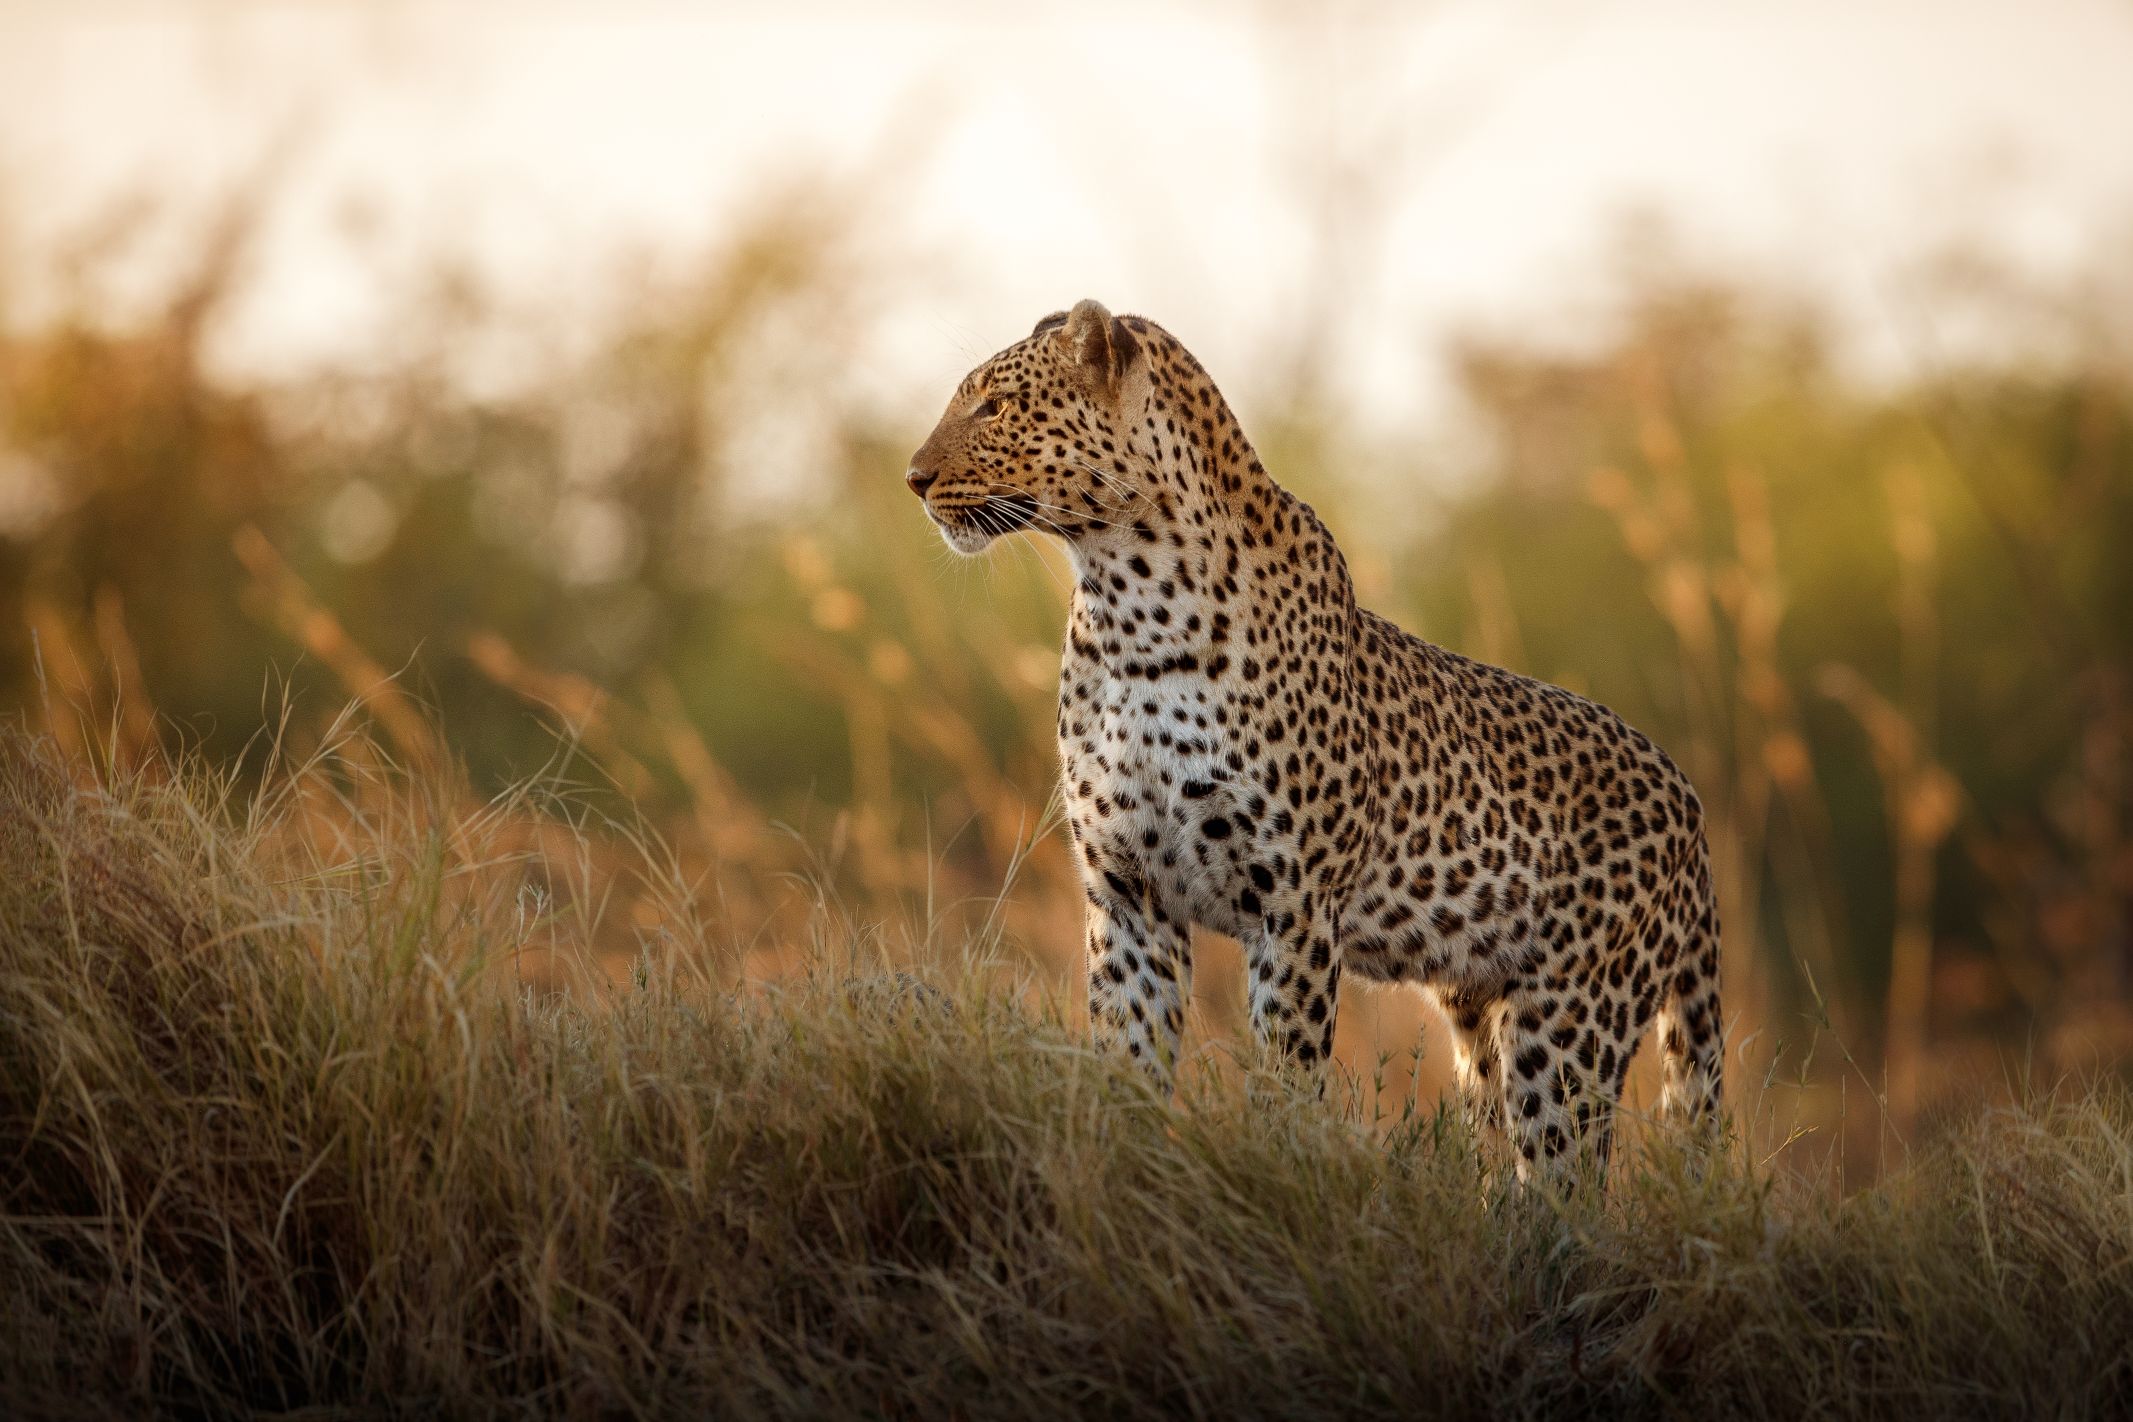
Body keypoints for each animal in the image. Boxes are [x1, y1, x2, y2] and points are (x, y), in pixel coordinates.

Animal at [908, 300, 1723, 1176]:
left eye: (993, 406)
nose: (913, 477)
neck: (1127, 603)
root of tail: (1688, 802)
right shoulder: (1128, 895)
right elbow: (1126, 1066)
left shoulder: (1292, 906)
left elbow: (1285, 1078)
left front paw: (1272, 1168)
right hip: (1480, 1015)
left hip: (1571, 1021)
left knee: (1565, 1176)